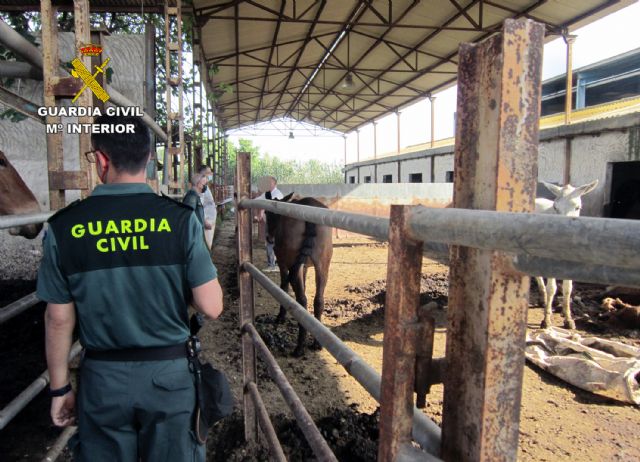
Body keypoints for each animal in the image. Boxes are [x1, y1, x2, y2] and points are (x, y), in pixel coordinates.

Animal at [266, 193, 336, 356]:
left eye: (267, 213)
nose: (269, 238)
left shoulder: (283, 262)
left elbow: (283, 286)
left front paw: (281, 316)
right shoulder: (303, 266)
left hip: (294, 263)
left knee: (302, 301)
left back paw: (299, 347)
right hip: (323, 264)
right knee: (318, 300)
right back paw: (316, 342)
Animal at [536, 180, 600, 328]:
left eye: (578, 207)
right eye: (555, 207)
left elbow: (567, 289)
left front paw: (569, 319)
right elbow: (552, 288)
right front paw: (546, 320)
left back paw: (543, 299)